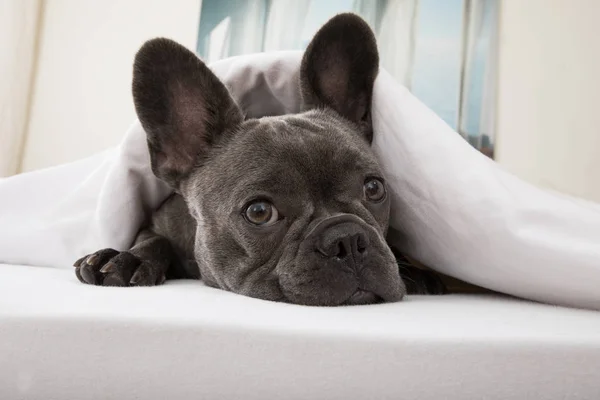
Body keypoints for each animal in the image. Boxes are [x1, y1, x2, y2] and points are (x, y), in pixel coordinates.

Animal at [74, 13, 446, 306]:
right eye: (259, 212)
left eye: (373, 189)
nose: (348, 239)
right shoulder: (155, 222)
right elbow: (152, 239)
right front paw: (126, 258)